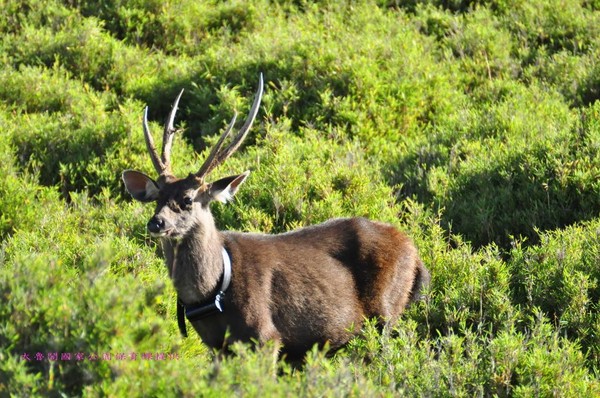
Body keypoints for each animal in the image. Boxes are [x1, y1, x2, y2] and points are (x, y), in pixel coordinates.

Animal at [123, 73, 432, 360]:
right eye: (157, 198)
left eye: (187, 199)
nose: (156, 222)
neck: (215, 291)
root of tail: (415, 252)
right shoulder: (216, 347)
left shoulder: (265, 336)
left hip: (386, 312)